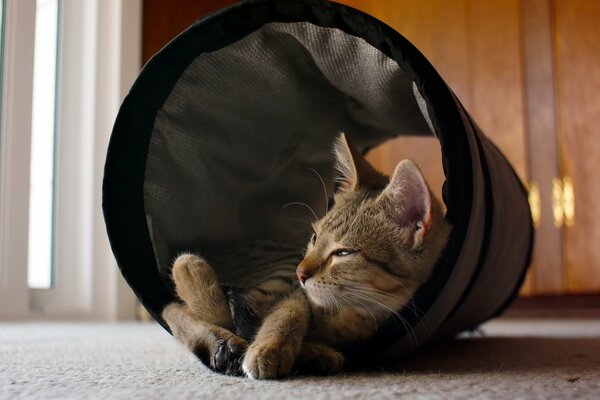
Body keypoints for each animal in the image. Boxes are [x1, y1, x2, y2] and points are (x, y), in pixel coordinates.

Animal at [159, 134, 450, 378]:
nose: (300, 273)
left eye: (344, 252)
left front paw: (307, 351)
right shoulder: (293, 293)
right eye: (314, 238)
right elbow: (288, 312)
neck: (351, 313)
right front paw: (271, 347)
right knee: (180, 309)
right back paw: (191, 273)